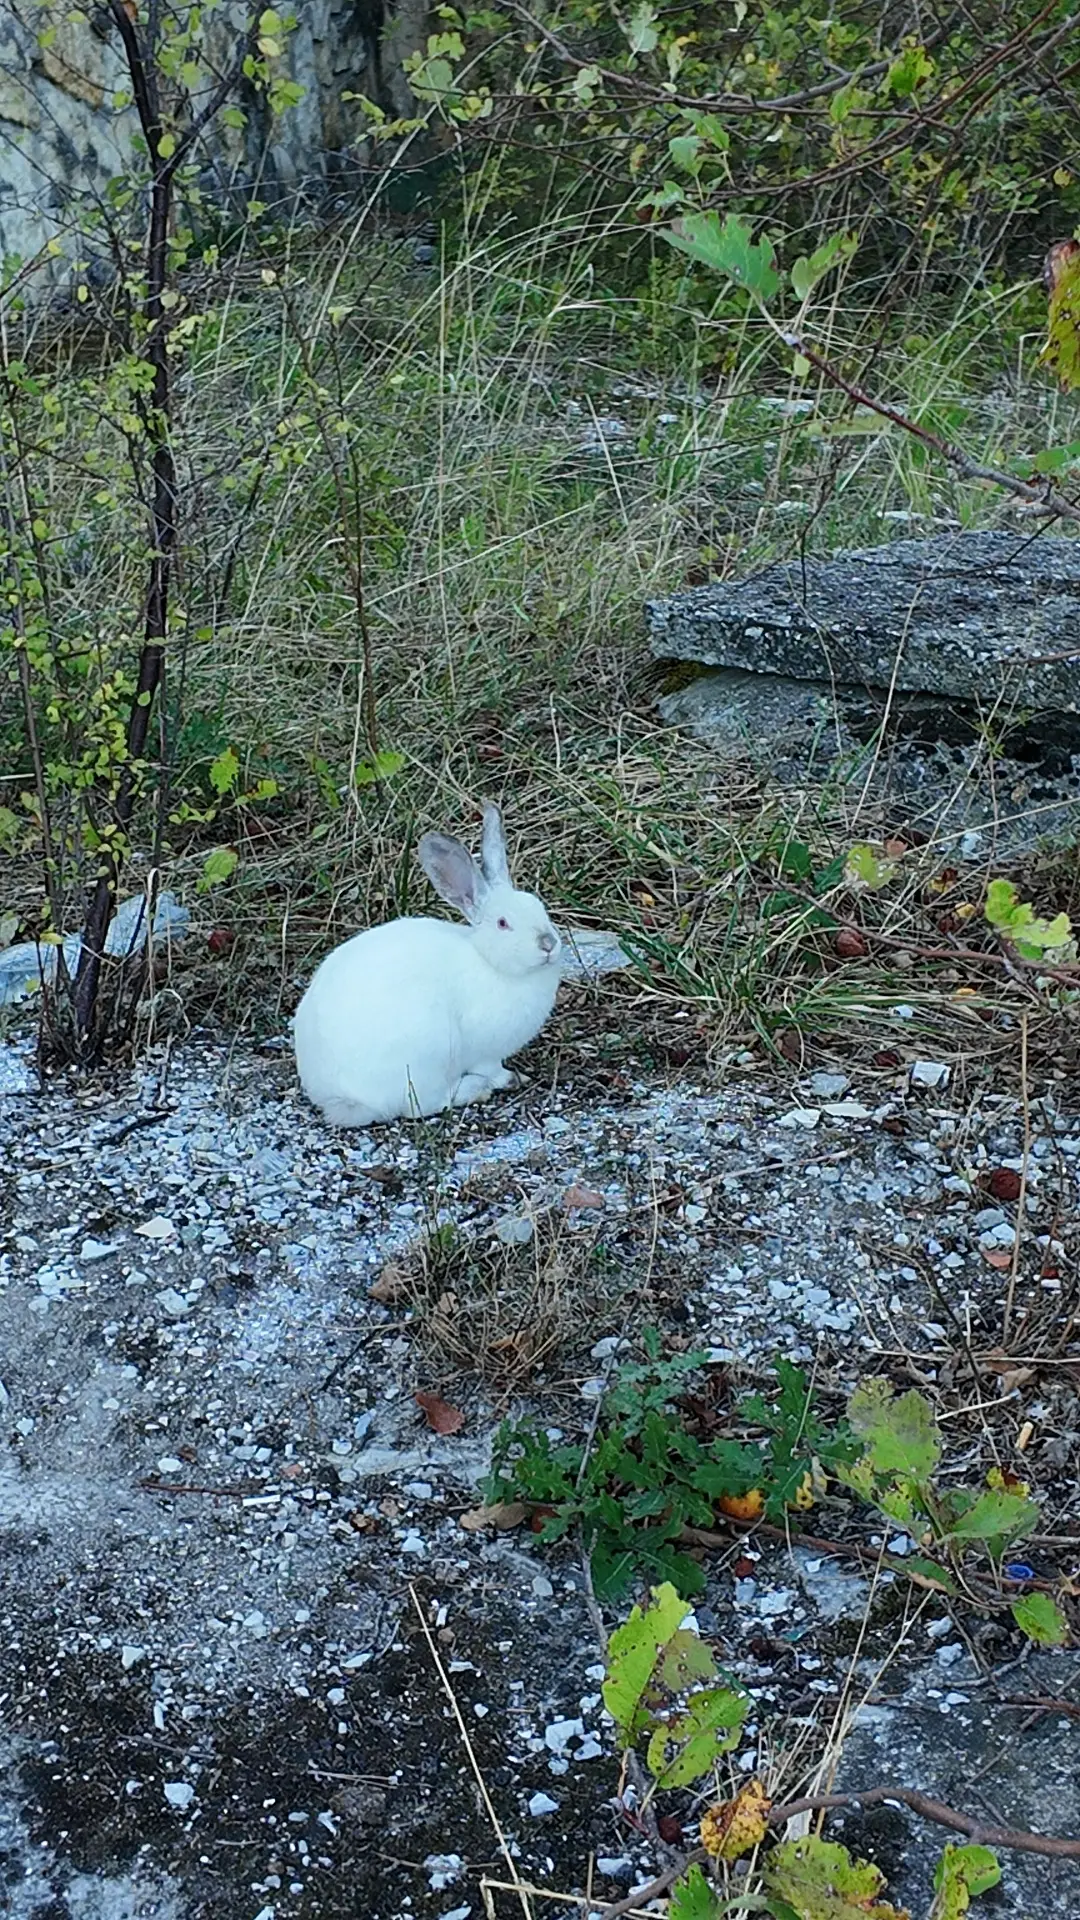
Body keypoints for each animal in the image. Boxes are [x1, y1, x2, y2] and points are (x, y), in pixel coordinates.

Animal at [293, 802, 562, 1127]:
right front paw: (512, 1078)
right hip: (428, 1057)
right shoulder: (486, 1052)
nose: (548, 944)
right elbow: (493, 1069)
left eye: (540, 907)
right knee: (421, 1105)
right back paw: (475, 1089)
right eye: (503, 923)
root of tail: (341, 1099)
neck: (491, 963)